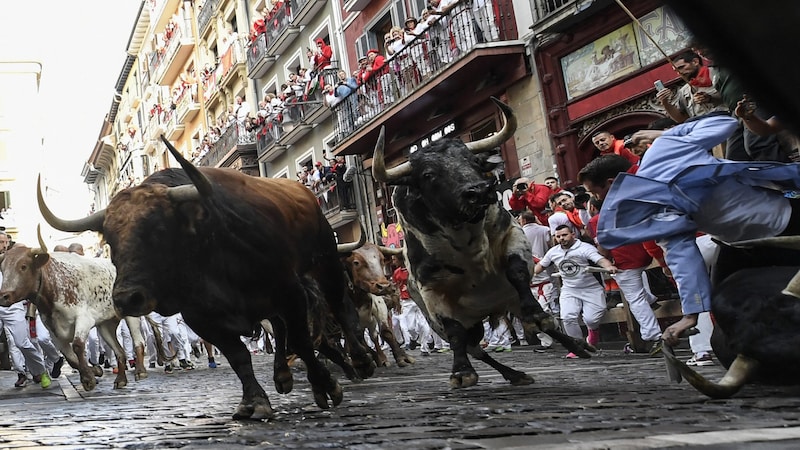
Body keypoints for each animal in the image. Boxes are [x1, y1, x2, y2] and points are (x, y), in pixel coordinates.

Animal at [0, 229, 150, 390]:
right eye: (2, 269)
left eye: (23, 266)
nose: (4, 296)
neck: (54, 285)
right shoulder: (54, 331)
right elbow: (70, 358)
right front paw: (93, 372)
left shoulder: (83, 319)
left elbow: (78, 346)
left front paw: (88, 379)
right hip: (105, 325)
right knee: (119, 351)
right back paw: (120, 379)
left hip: (131, 316)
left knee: (139, 341)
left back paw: (140, 371)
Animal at [37, 135, 376, 420]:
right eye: (109, 239)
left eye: (158, 228)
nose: (125, 298)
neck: (212, 252)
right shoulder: (202, 318)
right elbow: (239, 357)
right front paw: (254, 402)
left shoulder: (290, 292)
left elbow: (303, 341)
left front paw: (326, 387)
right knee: (280, 331)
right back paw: (281, 375)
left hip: (325, 261)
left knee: (339, 307)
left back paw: (361, 360)